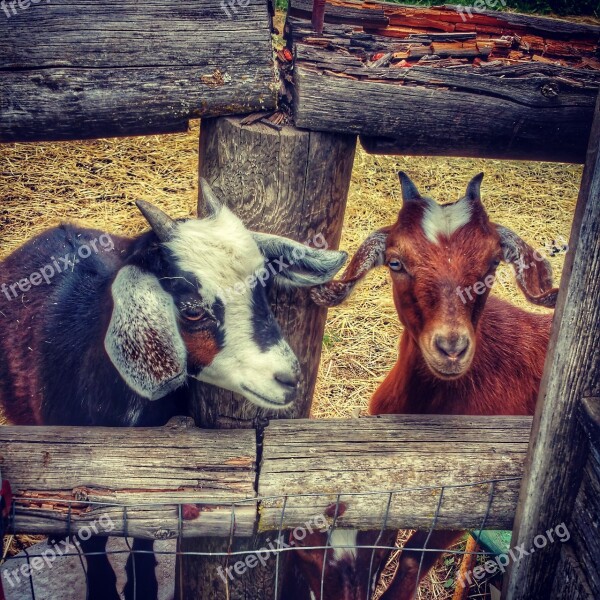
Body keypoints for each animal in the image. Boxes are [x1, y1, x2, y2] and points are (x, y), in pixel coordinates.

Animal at [0, 179, 346, 600]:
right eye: (193, 310)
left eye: (263, 286)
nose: (288, 377)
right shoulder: (77, 479)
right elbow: (91, 539)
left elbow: (148, 526)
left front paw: (143, 584)